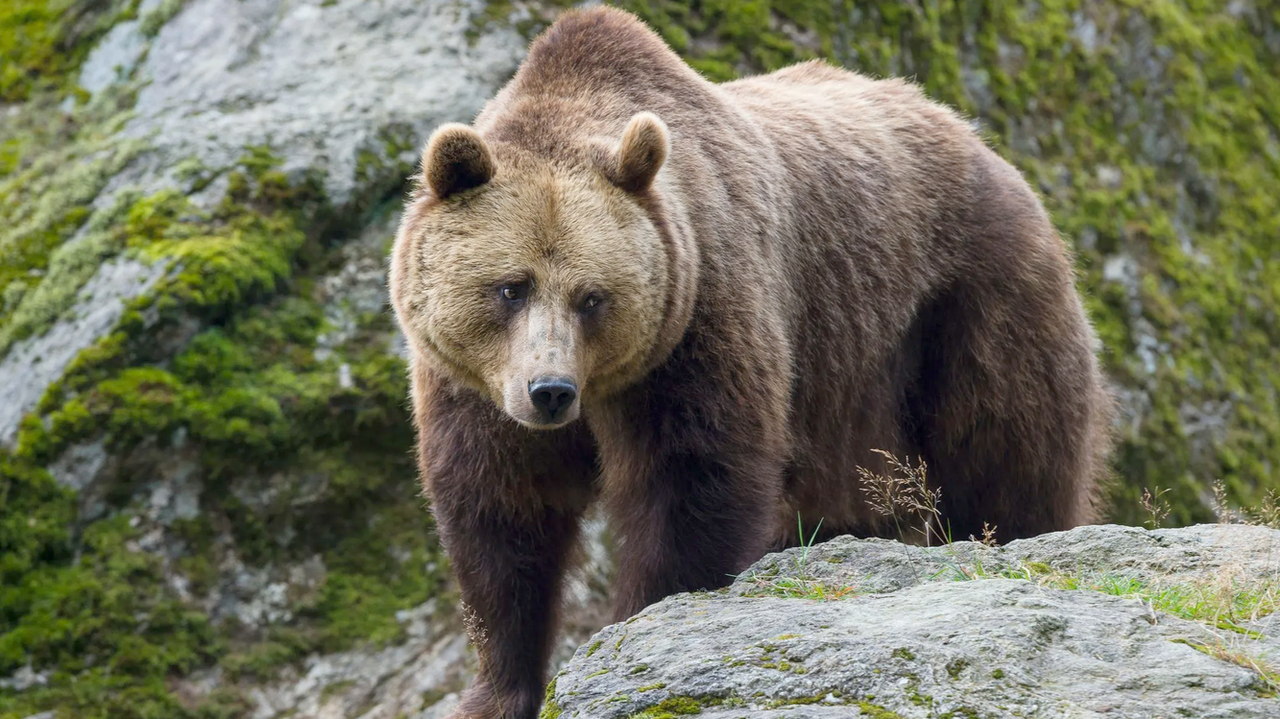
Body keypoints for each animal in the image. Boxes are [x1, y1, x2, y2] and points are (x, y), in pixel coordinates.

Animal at [388, 6, 1114, 718]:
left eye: (592, 296)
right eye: (511, 286)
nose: (551, 391)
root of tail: (976, 138)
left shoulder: (701, 314)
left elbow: (692, 478)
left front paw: (641, 625)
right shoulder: (474, 385)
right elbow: (502, 515)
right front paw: (497, 690)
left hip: (962, 307)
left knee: (1007, 454)